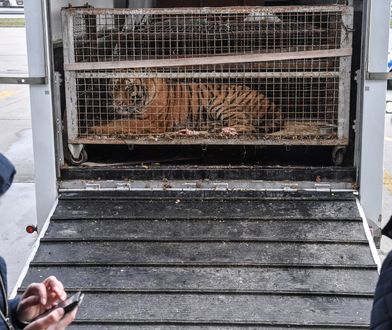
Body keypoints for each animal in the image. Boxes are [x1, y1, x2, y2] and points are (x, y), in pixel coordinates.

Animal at [90, 77, 284, 137]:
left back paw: (227, 131)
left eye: (128, 88)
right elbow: (121, 121)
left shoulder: (151, 122)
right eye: (115, 87)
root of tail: (273, 105)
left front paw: (96, 129)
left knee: (246, 125)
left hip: (218, 102)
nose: (118, 103)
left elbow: (121, 123)